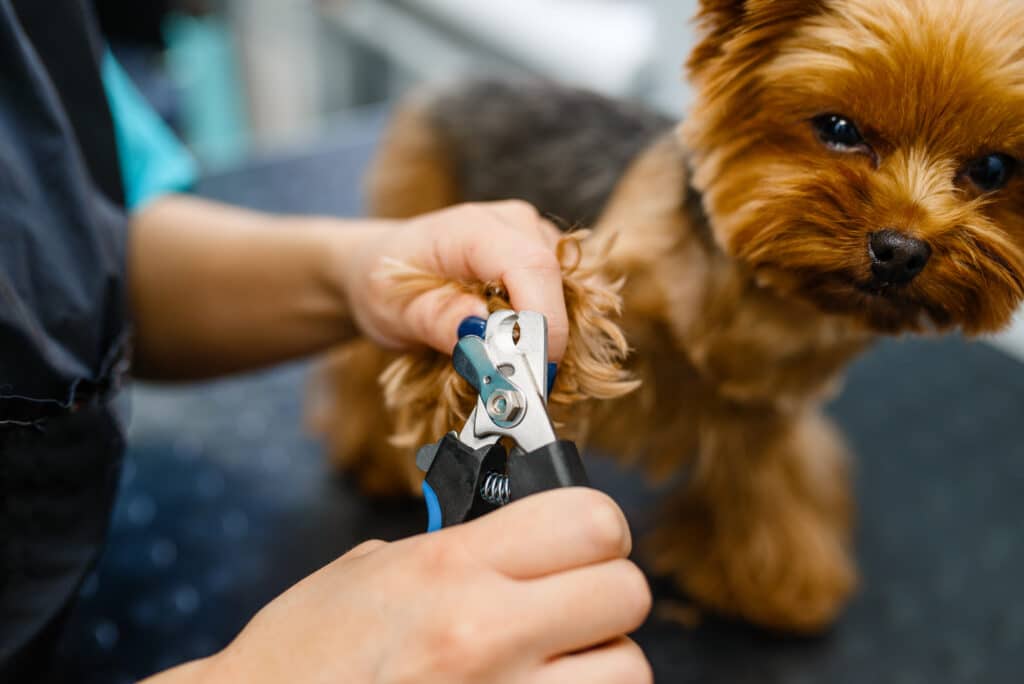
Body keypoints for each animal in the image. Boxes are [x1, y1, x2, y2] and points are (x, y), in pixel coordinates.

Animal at [307, 0, 1024, 634]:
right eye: (839, 129)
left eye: (993, 167)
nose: (900, 250)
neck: (753, 297)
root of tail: (461, 81)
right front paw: (524, 303)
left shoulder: (764, 407)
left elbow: (768, 480)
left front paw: (772, 581)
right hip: (413, 208)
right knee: (362, 360)